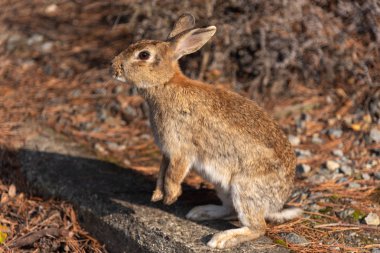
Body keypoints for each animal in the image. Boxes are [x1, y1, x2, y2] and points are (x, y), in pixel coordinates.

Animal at [110, 13, 302, 249]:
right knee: (229, 210)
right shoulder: (166, 152)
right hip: (223, 186)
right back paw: (201, 212)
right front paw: (157, 195)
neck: (165, 84)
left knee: (258, 227)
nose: (113, 66)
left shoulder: (181, 149)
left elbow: (173, 174)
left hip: (244, 187)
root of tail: (277, 202)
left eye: (144, 55)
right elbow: (162, 171)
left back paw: (222, 239)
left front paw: (170, 197)